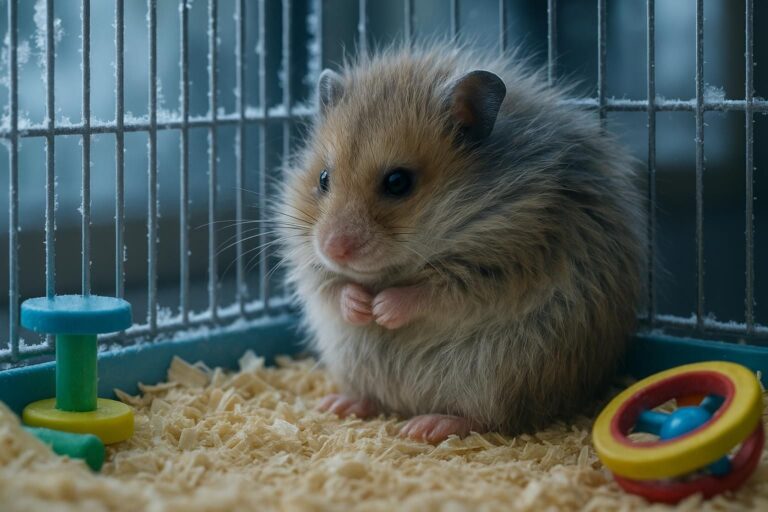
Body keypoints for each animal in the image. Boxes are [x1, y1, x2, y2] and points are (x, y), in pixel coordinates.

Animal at [276, 44, 644, 444]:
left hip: (505, 376)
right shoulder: (309, 260)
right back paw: (339, 404)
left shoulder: (507, 261)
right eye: (323, 179)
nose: (334, 249)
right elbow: (333, 286)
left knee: (490, 418)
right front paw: (361, 306)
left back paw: (426, 426)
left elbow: (434, 292)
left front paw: (382, 310)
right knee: (373, 396)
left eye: (398, 182)